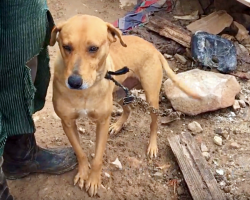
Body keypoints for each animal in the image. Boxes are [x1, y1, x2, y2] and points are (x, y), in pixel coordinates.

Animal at [49, 14, 200, 197]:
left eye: (93, 48)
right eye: (66, 47)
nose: (74, 82)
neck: (85, 91)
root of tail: (153, 47)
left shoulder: (102, 122)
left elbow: (97, 158)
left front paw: (93, 181)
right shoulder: (67, 123)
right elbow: (80, 152)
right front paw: (84, 174)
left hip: (151, 97)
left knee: (153, 123)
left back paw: (152, 146)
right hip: (119, 93)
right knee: (128, 109)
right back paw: (118, 126)